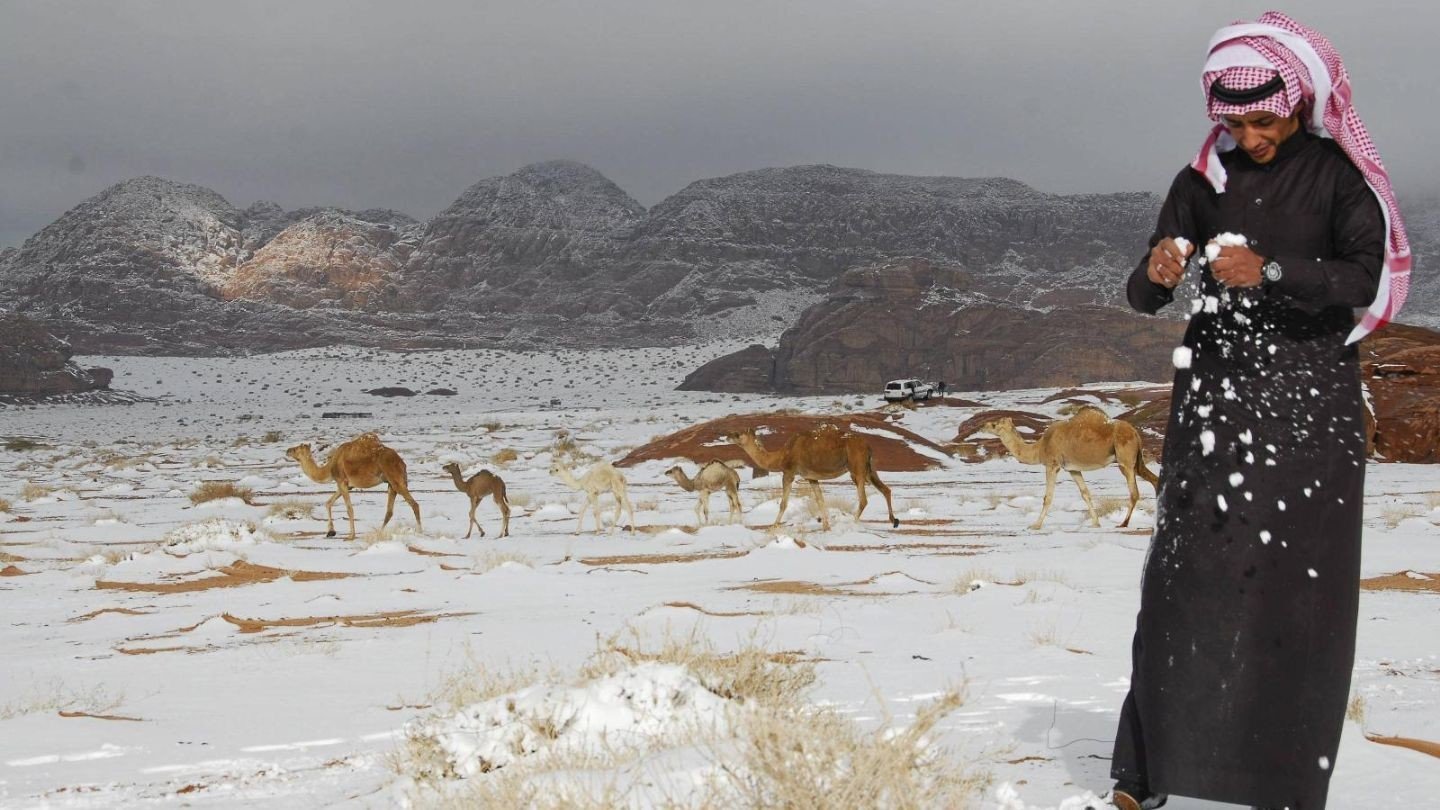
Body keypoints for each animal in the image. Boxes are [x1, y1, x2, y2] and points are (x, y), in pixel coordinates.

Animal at [283, 432, 420, 539]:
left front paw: (351, 536)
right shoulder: (347, 485)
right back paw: (379, 532)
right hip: (391, 483)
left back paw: (420, 531)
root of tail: (402, 462)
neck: (330, 467)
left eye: (296, 449)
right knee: (389, 511)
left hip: (396, 479)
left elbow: (349, 509)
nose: (287, 450)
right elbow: (328, 503)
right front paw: (330, 532)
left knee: (414, 504)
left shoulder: (341, 481)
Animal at [725, 423, 892, 530]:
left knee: (863, 499)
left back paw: (852, 522)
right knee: (886, 489)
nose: (728, 436)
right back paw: (894, 520)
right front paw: (826, 526)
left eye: (738, 434)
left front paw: (773, 526)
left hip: (856, 468)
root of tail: (868, 446)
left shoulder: (789, 472)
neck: (781, 456)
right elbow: (820, 500)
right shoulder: (811, 477)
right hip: (868, 468)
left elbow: (783, 503)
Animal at [973, 403, 1163, 530]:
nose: (982, 425)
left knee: (1134, 492)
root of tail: (1135, 433)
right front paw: (1096, 523)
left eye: (994, 424)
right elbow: (1085, 494)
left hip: (1125, 460)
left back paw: (1123, 523)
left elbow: (1048, 497)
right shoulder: (1073, 468)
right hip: (1136, 461)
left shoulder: (1052, 464)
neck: (1040, 447)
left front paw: (1035, 525)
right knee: (1154, 480)